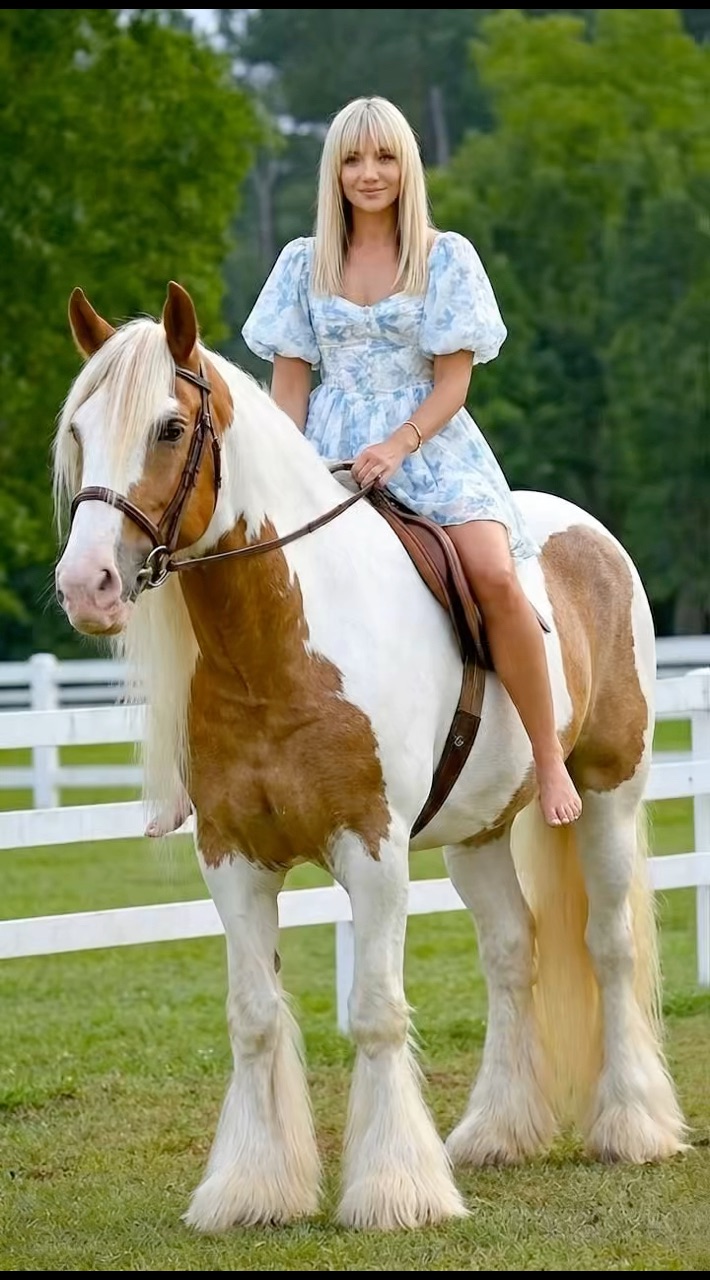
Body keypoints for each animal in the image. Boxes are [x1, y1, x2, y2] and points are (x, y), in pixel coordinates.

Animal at [52, 280, 688, 1233]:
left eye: (168, 427)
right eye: (80, 430)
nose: (84, 584)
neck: (280, 647)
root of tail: (591, 535)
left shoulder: (374, 851)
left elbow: (378, 1014)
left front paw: (395, 1189)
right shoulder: (231, 859)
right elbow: (254, 1017)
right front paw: (251, 1189)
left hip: (609, 795)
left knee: (608, 946)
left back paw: (633, 1126)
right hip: (477, 835)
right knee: (513, 954)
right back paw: (498, 1133)